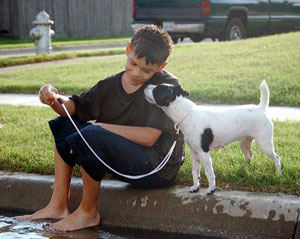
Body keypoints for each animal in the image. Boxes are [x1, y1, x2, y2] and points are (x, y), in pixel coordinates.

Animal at [145, 81, 282, 195]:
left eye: (156, 90)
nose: (145, 85)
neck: (186, 114)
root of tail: (261, 108)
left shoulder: (204, 152)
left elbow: (209, 172)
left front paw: (211, 189)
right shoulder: (194, 153)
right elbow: (195, 171)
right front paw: (195, 187)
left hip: (265, 144)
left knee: (276, 158)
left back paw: (279, 175)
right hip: (244, 143)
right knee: (249, 156)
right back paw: (243, 170)